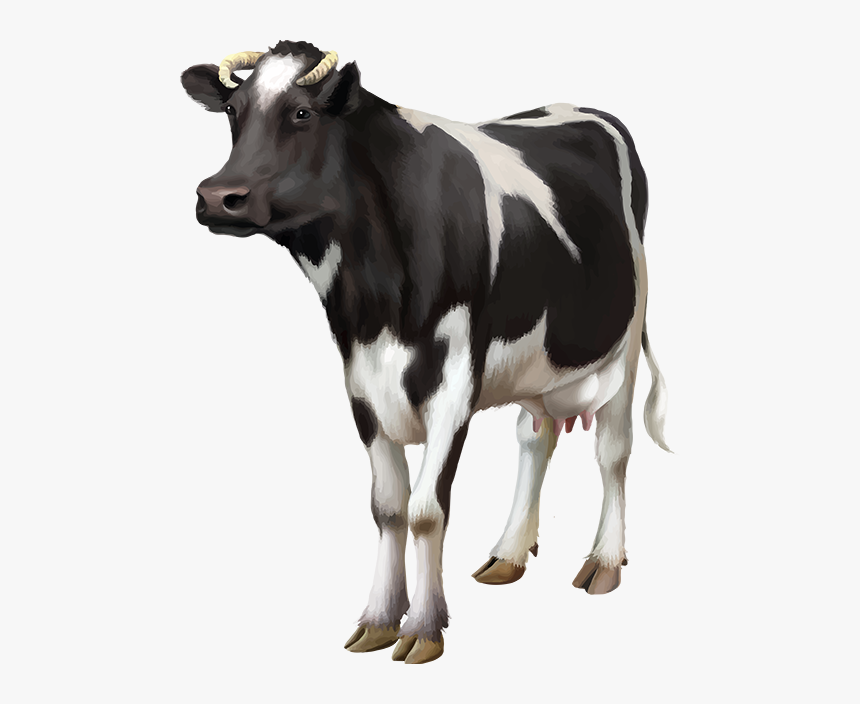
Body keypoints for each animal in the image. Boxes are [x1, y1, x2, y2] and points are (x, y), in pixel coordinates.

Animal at [181, 40, 670, 665]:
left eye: (301, 112)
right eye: (232, 112)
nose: (218, 197)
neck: (374, 299)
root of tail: (579, 106)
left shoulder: (454, 382)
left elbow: (424, 510)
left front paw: (424, 628)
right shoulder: (363, 383)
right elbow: (388, 509)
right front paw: (378, 619)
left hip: (624, 346)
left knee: (613, 452)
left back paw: (604, 561)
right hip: (537, 364)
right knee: (535, 438)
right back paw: (509, 552)